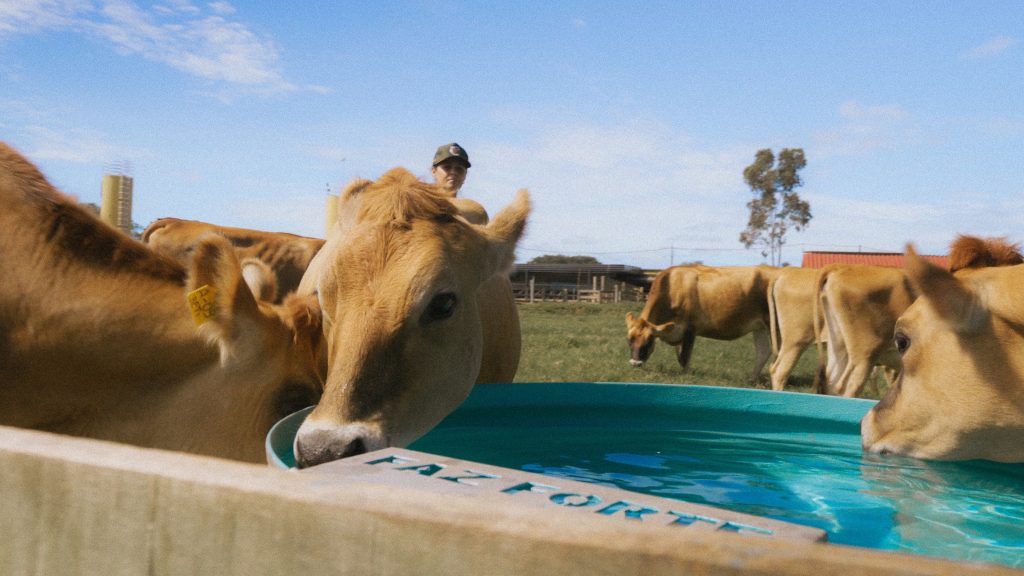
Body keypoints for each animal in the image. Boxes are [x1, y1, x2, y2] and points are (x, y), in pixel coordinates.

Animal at [624, 265, 779, 384]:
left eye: (649, 340)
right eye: (629, 340)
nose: (635, 363)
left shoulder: (690, 329)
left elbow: (684, 357)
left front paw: (687, 375)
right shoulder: (679, 332)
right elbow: (680, 356)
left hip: (773, 324)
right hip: (759, 326)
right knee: (763, 351)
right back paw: (751, 380)